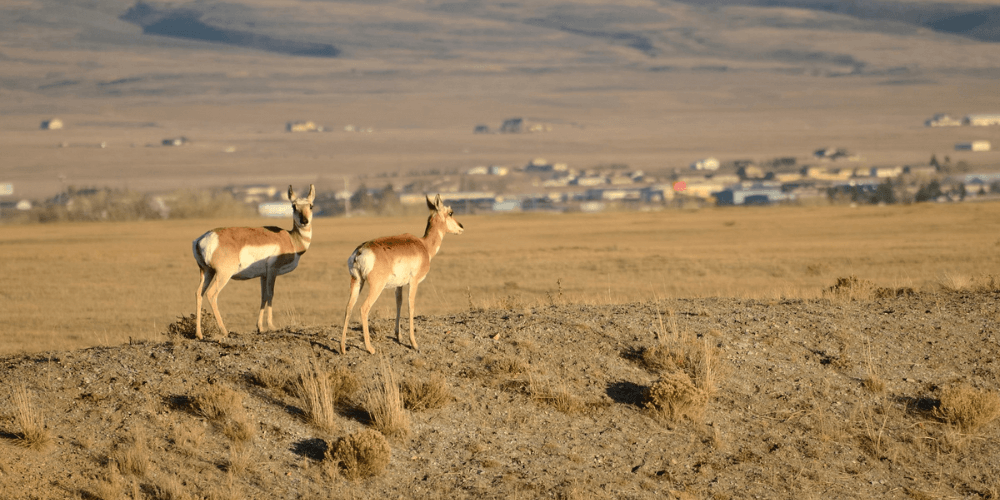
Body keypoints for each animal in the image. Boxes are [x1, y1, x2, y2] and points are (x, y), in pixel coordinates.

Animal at [194, 185, 316, 340]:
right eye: (294, 206)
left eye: (311, 205)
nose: (304, 221)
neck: (291, 239)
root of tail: (202, 239)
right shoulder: (272, 272)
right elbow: (270, 294)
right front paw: (271, 326)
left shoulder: (263, 276)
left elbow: (263, 296)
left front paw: (260, 328)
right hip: (223, 275)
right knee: (211, 295)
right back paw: (224, 331)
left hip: (207, 272)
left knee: (199, 293)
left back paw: (199, 334)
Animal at [336, 193, 460, 354]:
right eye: (451, 212)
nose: (461, 227)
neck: (424, 245)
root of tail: (361, 250)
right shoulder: (414, 283)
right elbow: (410, 306)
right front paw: (414, 343)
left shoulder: (399, 286)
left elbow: (399, 304)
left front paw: (398, 336)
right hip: (376, 287)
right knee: (364, 308)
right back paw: (370, 348)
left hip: (356, 282)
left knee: (348, 308)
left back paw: (342, 348)